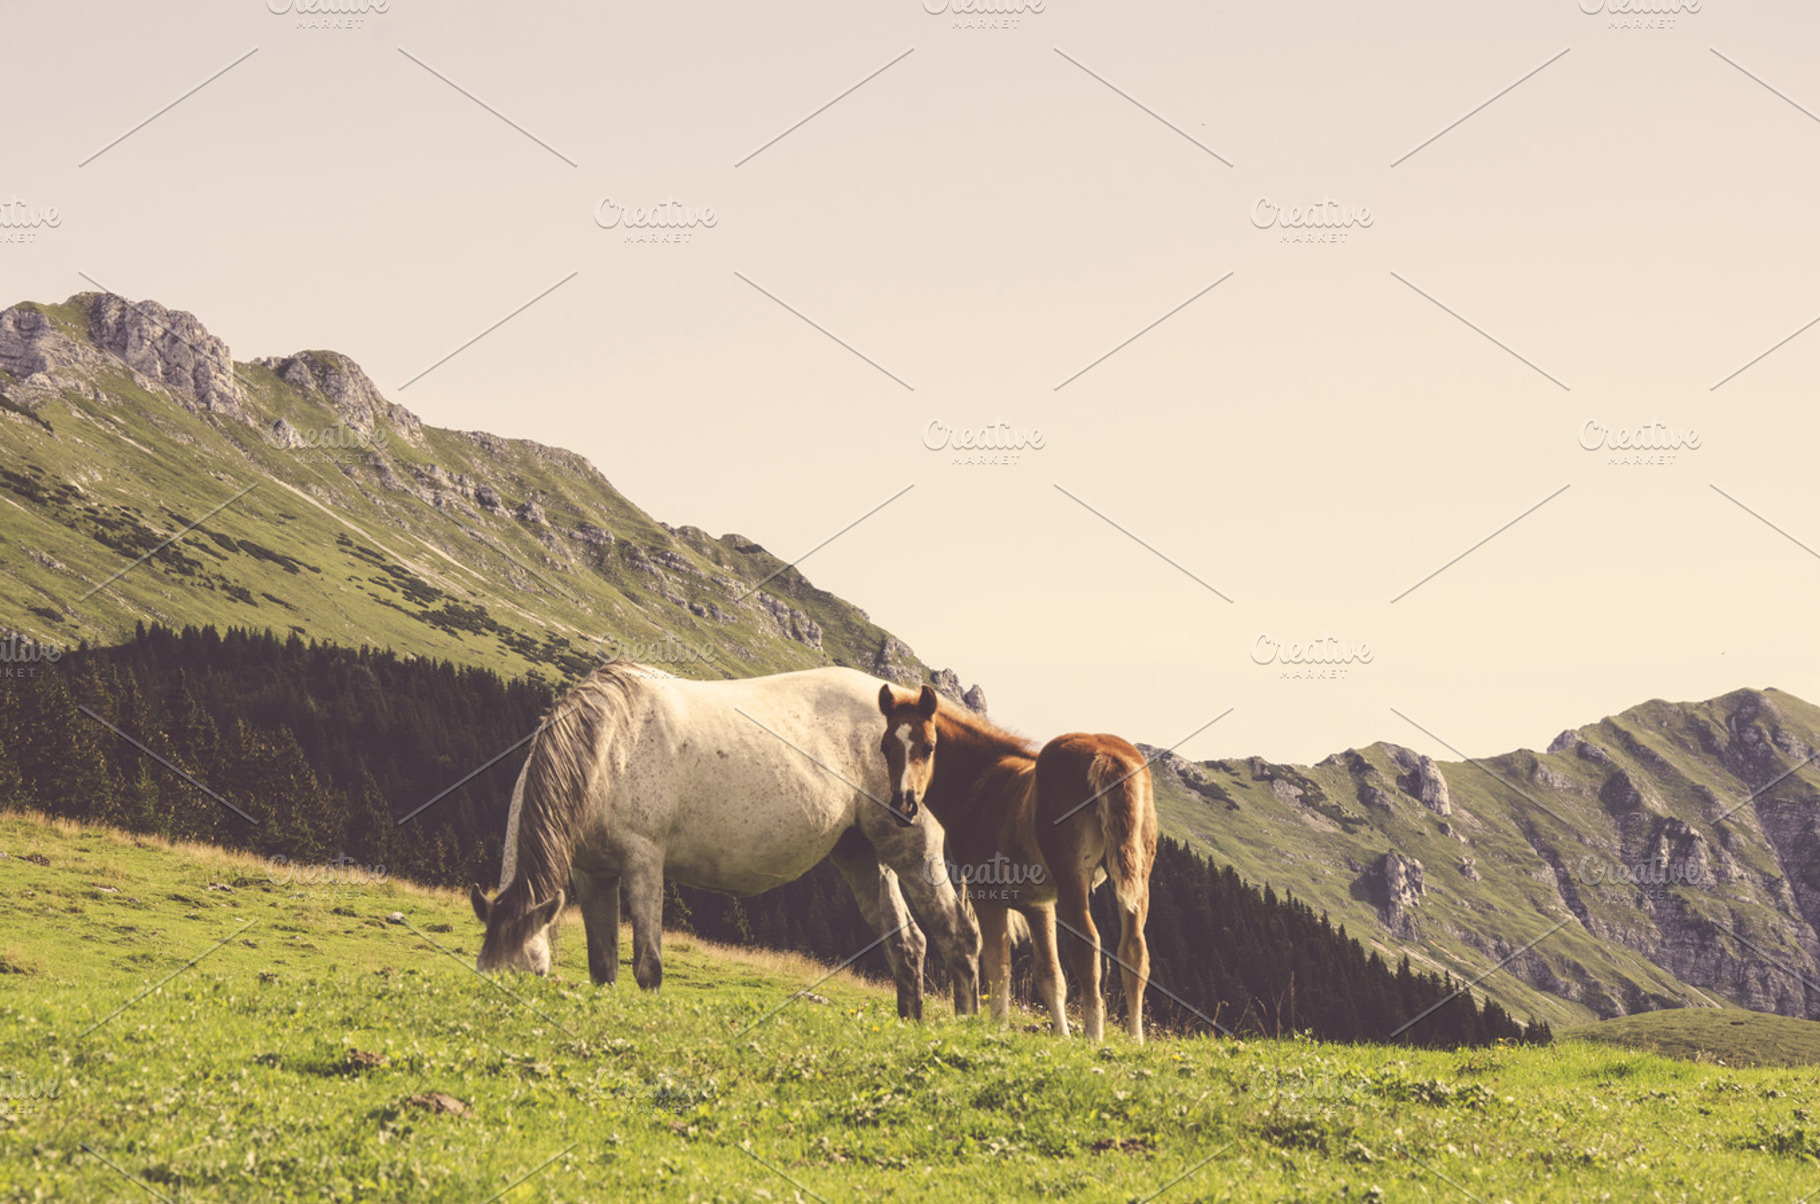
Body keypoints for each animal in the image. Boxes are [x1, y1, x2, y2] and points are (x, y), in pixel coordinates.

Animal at [468, 663, 982, 1021]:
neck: (610, 744)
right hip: (863, 855)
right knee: (908, 944)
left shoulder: (643, 860)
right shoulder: (593, 874)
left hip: (915, 851)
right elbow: (602, 967)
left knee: (958, 935)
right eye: (485, 973)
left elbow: (647, 965)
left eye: (534, 975)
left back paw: (968, 1024)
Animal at [876, 683, 1158, 1040]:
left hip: (1073, 879)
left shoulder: (987, 895)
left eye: (929, 747)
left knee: (1089, 945)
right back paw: (1135, 1039)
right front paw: (1062, 1036)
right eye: (885, 747)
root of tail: (1106, 756)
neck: (980, 780)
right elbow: (1049, 974)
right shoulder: (1038, 904)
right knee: (1134, 951)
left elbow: (998, 964)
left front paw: (998, 1025)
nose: (904, 806)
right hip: (1138, 881)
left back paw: (1094, 1035)